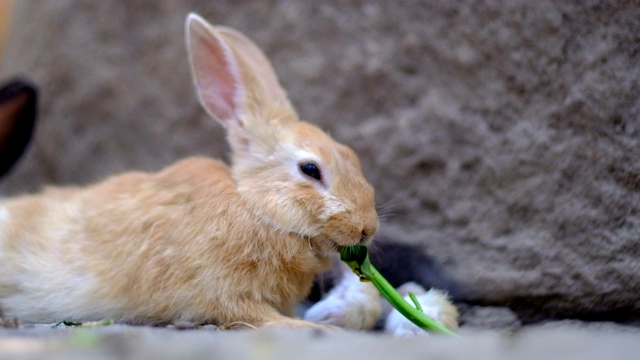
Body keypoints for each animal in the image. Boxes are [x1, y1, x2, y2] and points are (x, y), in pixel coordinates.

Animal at [0, 13, 382, 330]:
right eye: (310, 169)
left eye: (352, 156)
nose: (367, 229)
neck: (253, 208)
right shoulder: (222, 295)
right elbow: (263, 319)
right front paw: (318, 329)